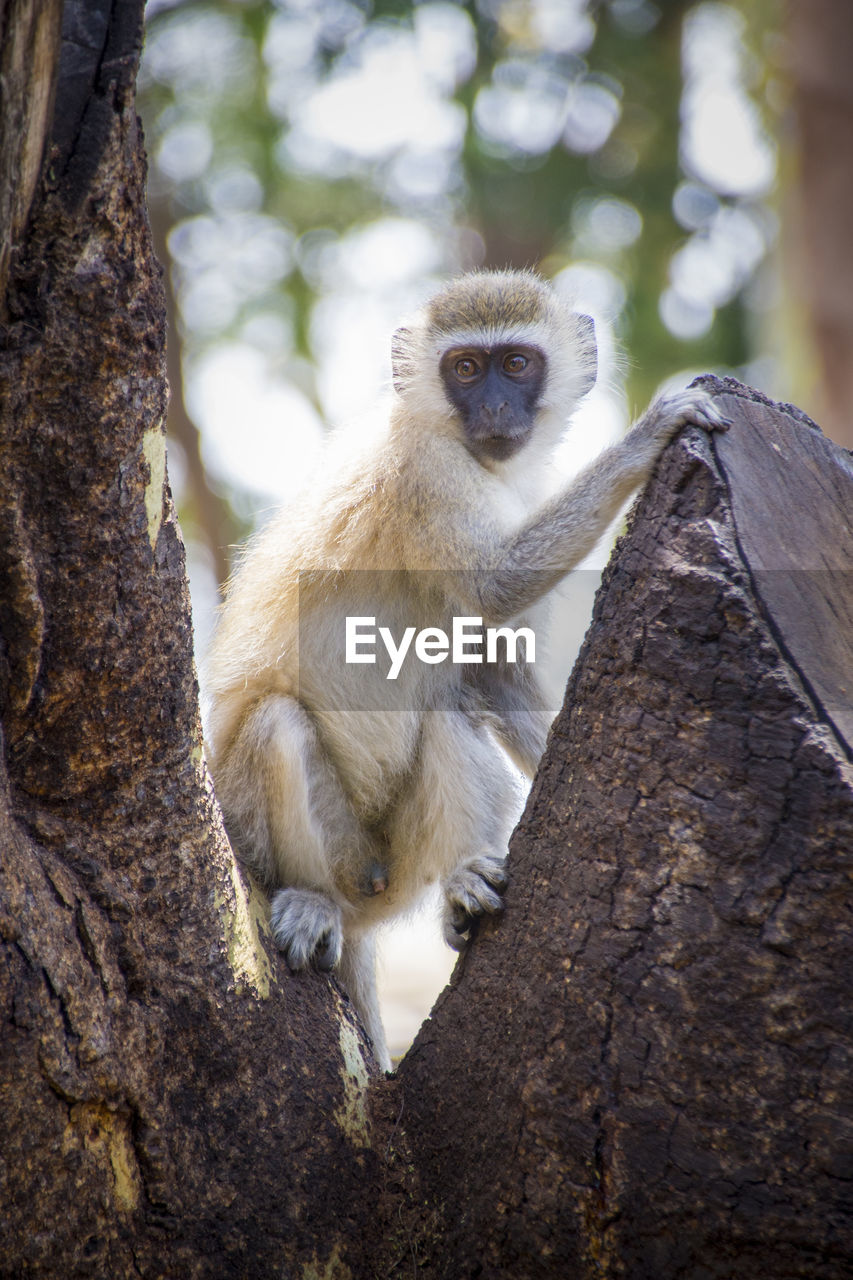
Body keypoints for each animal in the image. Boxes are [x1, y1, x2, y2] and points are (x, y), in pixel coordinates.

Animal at [204, 270, 722, 1070]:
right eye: (467, 369)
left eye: (516, 364)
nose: (497, 410)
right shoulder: (426, 468)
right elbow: (493, 583)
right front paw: (650, 433)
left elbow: (491, 677)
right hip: (288, 838)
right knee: (276, 727)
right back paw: (317, 899)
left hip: (397, 864)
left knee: (449, 712)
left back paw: (462, 888)